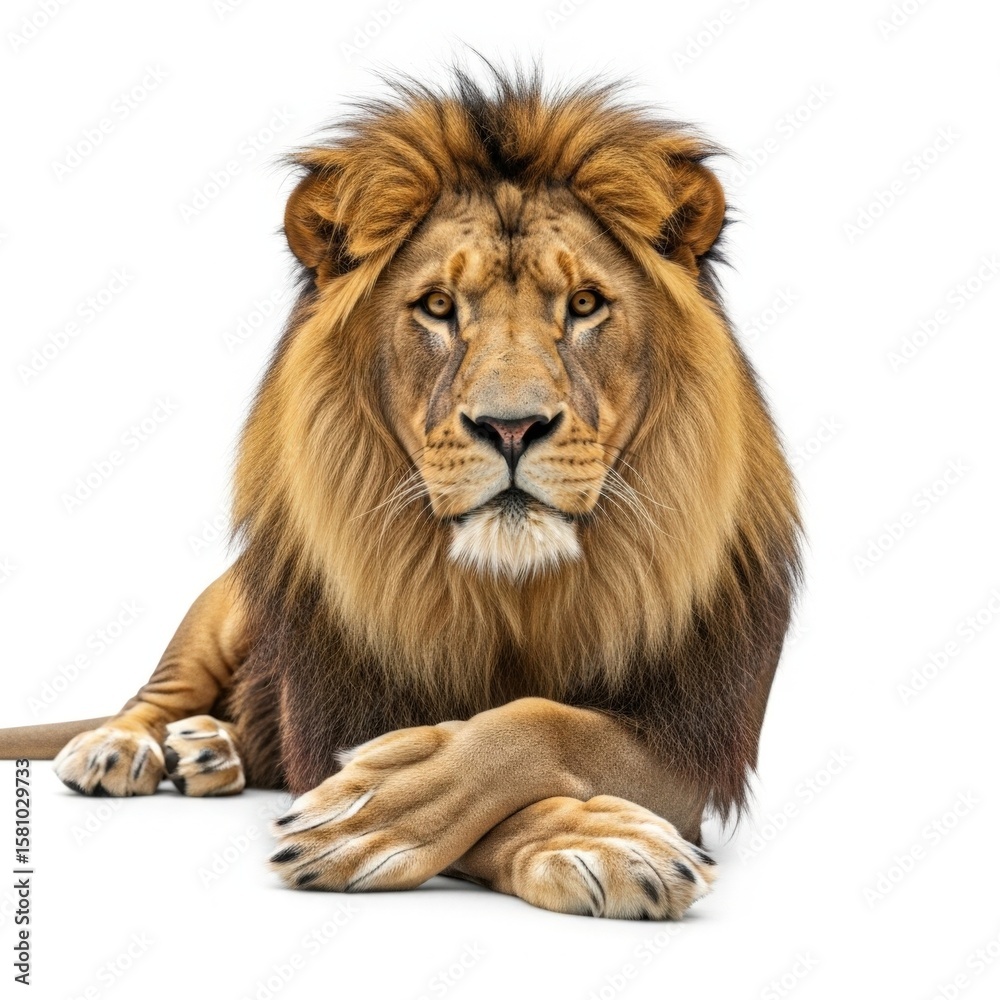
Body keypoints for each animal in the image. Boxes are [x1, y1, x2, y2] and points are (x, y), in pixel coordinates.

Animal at [0, 67, 800, 920]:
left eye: (584, 305)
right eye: (439, 308)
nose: (511, 427)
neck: (514, 590)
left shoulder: (688, 744)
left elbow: (543, 725)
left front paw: (393, 801)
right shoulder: (338, 711)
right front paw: (391, 807)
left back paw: (210, 752)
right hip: (222, 610)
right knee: (158, 693)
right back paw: (127, 744)